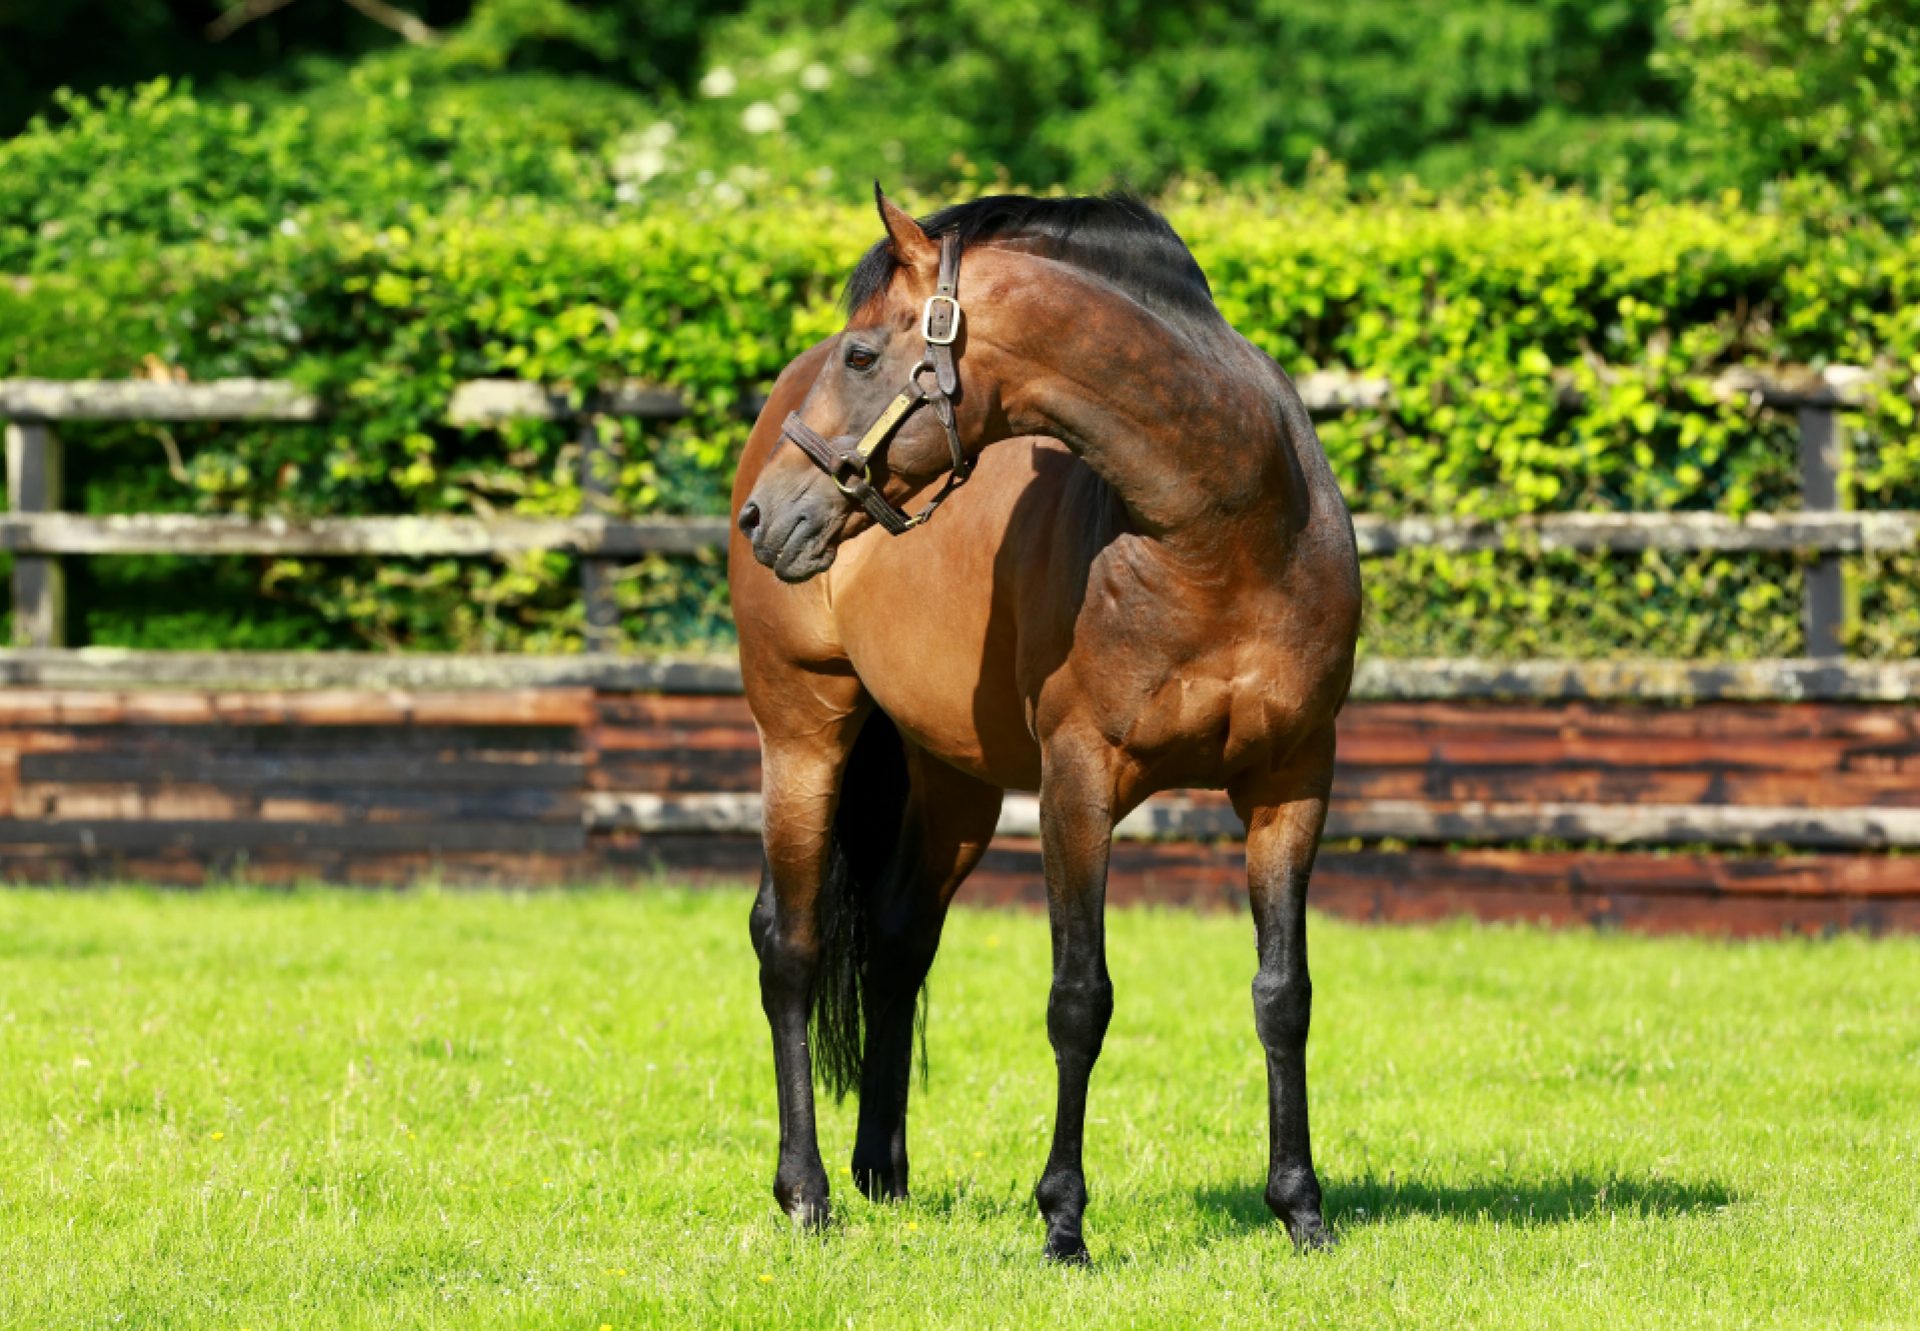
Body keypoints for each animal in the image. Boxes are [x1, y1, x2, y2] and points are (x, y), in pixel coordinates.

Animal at [721, 187, 1367, 1259]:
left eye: (863, 356)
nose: (765, 517)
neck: (1227, 532)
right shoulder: (1078, 782)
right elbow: (1080, 998)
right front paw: (1064, 1220)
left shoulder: (1291, 784)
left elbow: (1286, 995)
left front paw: (1301, 1209)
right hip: (803, 730)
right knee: (792, 945)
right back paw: (805, 1192)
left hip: (955, 782)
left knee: (899, 936)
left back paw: (882, 1171)